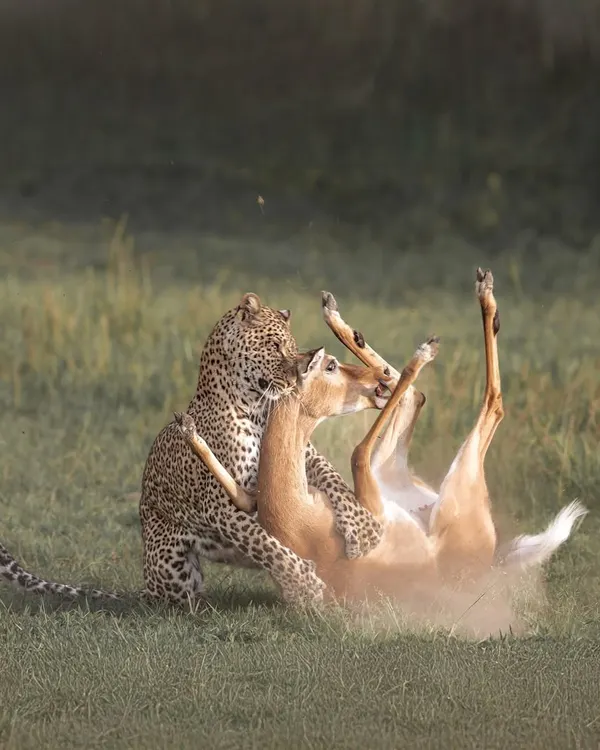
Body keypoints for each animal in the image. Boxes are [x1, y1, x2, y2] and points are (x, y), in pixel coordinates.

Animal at [1, 291, 383, 605]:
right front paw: (305, 582)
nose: (297, 379)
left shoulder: (304, 455)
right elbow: (266, 544)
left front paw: (364, 530)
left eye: (292, 347)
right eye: (275, 346)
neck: (255, 409)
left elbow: (333, 480)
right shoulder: (221, 505)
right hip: (173, 564)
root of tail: (146, 587)